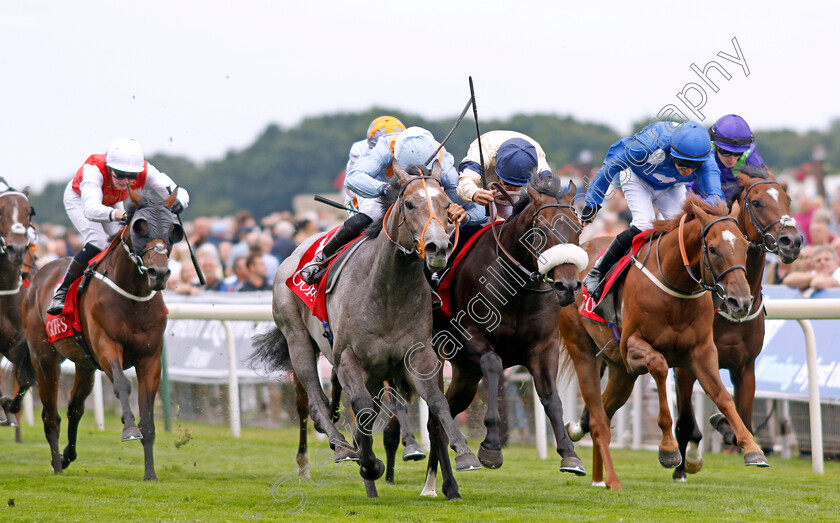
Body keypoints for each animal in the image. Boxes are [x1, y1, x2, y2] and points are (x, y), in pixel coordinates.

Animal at [21, 190, 183, 482]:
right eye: (140, 228)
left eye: (172, 230)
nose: (160, 273)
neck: (132, 296)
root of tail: (38, 276)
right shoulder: (107, 345)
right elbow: (122, 385)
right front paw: (129, 427)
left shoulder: (150, 358)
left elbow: (148, 415)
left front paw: (150, 473)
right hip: (44, 358)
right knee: (51, 416)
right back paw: (57, 466)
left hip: (84, 364)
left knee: (75, 408)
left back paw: (67, 456)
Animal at [249, 163, 482, 500]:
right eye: (409, 204)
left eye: (447, 206)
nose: (439, 248)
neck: (387, 290)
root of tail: (293, 255)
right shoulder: (348, 360)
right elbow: (361, 409)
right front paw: (369, 464)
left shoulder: (418, 356)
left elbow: (437, 401)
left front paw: (464, 453)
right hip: (297, 337)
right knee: (315, 398)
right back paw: (341, 447)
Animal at [424, 174, 588, 502]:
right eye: (543, 230)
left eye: (578, 229)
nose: (567, 287)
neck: (518, 288)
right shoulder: (470, 338)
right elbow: (494, 365)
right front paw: (491, 446)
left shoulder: (544, 346)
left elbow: (551, 398)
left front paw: (570, 453)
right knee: (434, 412)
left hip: (464, 375)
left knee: (441, 416)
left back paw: (443, 484)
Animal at [556, 193, 768, 492]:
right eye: (713, 249)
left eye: (745, 247)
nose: (741, 302)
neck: (676, 288)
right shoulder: (633, 347)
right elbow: (658, 367)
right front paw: (668, 449)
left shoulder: (702, 351)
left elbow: (723, 396)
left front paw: (752, 447)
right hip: (584, 350)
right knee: (597, 418)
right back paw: (604, 473)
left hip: (621, 372)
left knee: (604, 415)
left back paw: (599, 475)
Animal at [672, 169, 804, 484]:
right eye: (756, 202)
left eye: (788, 199)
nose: (792, 241)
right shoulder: (688, 365)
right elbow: (686, 420)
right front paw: (687, 462)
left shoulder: (745, 367)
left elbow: (741, 419)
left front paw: (726, 427)